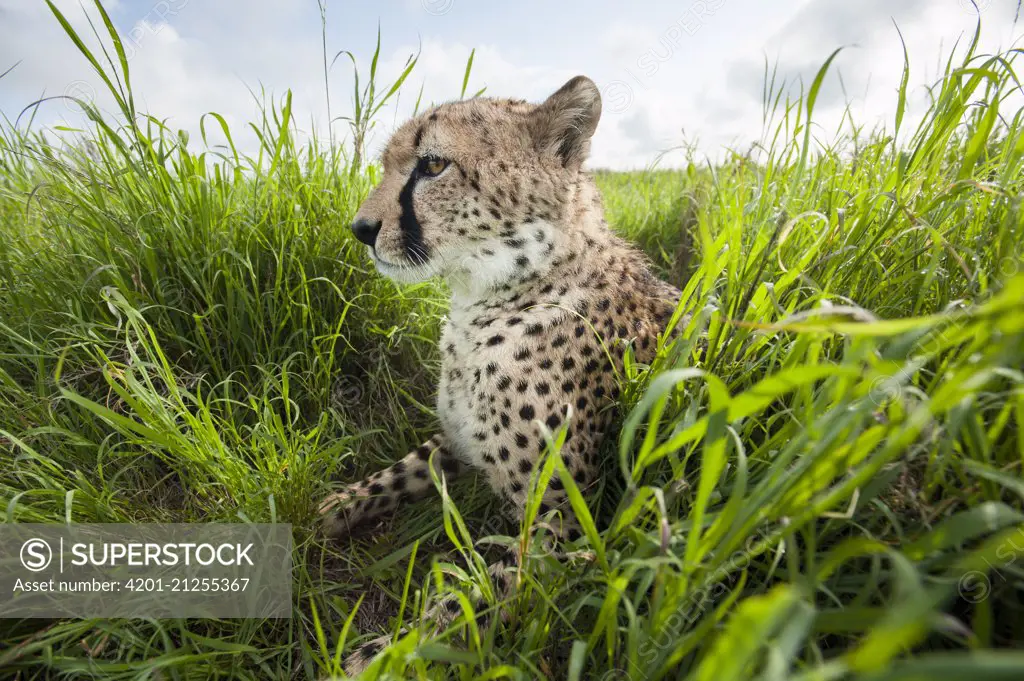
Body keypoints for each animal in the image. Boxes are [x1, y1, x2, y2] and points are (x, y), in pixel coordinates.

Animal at [317, 75, 688, 675]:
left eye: (433, 165)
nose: (361, 229)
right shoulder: (458, 440)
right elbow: (404, 468)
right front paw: (336, 507)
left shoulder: (562, 525)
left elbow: (463, 604)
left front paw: (380, 654)